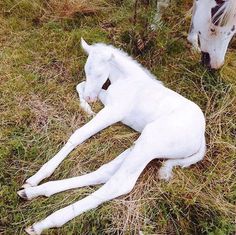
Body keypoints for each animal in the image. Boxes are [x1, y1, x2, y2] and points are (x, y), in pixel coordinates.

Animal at [18, 39, 206, 234]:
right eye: (86, 70)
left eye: (100, 73)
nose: (90, 98)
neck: (129, 81)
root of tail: (201, 139)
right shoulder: (107, 99)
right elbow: (80, 84)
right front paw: (86, 108)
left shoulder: (114, 111)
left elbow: (79, 134)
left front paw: (43, 172)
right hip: (141, 144)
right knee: (105, 172)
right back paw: (33, 191)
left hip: (150, 142)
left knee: (119, 184)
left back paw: (44, 222)